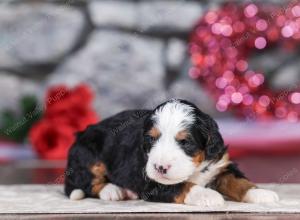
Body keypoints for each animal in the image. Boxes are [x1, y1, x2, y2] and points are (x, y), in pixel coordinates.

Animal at [65, 99, 278, 206]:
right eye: (151, 139)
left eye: (185, 142)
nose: (160, 167)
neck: (194, 169)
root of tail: (81, 133)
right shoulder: (150, 180)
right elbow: (182, 186)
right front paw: (207, 196)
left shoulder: (220, 164)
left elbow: (238, 181)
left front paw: (261, 193)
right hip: (89, 154)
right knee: (84, 183)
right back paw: (112, 190)